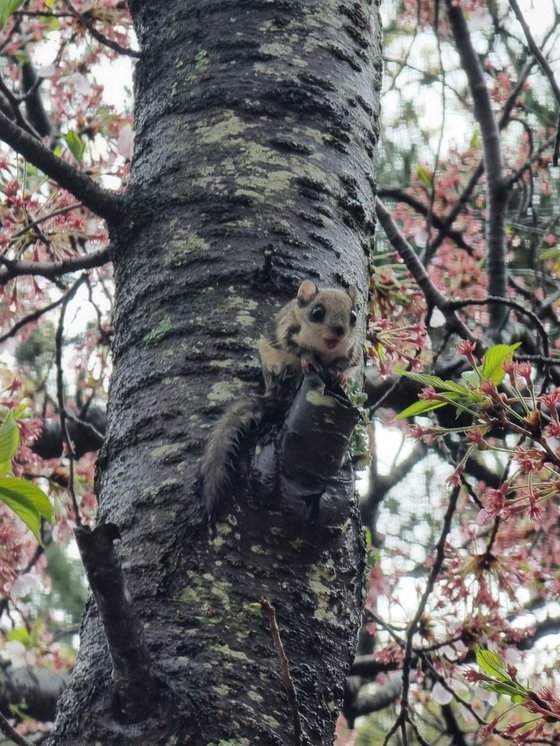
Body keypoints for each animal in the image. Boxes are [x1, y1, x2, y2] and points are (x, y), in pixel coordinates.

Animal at [199, 280, 360, 516]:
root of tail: (275, 395)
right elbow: (297, 349)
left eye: (354, 316)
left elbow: (344, 364)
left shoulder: (352, 352)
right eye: (317, 312)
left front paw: (339, 375)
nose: (339, 331)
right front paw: (307, 359)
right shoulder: (287, 331)